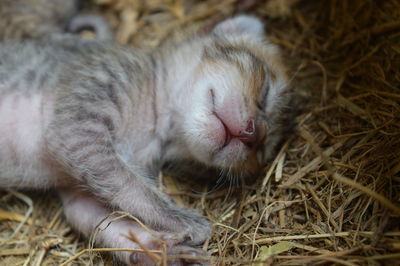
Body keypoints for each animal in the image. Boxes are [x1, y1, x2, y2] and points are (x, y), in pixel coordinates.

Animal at [0, 15, 290, 264]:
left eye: (262, 151)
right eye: (265, 91)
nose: (254, 134)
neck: (156, 120)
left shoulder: (77, 186)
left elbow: (105, 220)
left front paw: (158, 250)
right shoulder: (77, 127)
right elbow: (134, 187)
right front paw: (186, 221)